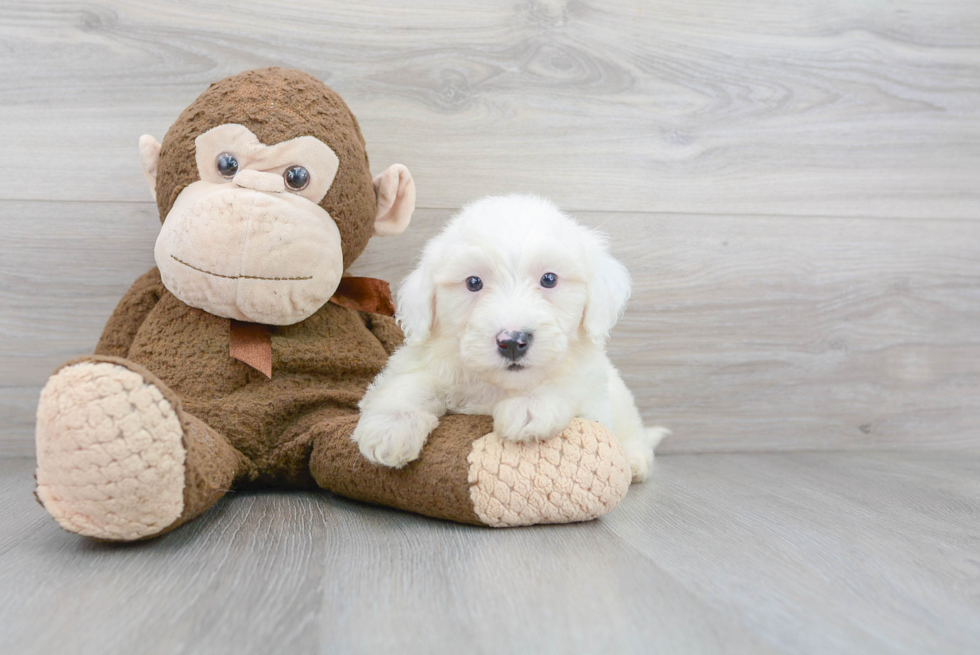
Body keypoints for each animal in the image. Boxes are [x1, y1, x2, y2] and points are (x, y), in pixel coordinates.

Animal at [350, 195, 668, 482]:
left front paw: (531, 406)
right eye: (473, 282)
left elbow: (567, 384)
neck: (500, 386)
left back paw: (635, 460)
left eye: (549, 279)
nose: (513, 341)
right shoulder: (425, 358)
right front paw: (392, 425)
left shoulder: (592, 394)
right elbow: (411, 381)